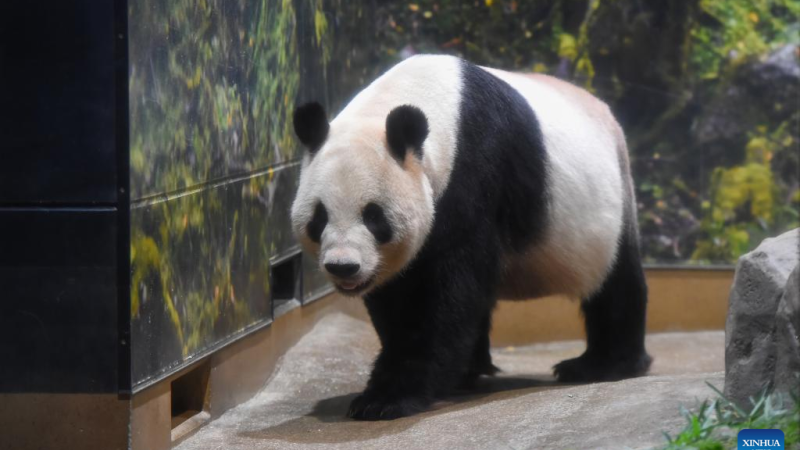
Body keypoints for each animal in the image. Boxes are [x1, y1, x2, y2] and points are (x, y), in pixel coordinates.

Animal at [290, 54, 652, 420]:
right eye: (319, 218)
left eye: (374, 217)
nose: (343, 266)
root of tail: (606, 113)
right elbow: (399, 294)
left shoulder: (475, 171)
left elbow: (449, 289)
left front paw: (386, 398)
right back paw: (469, 371)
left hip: (606, 209)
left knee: (616, 283)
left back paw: (602, 364)